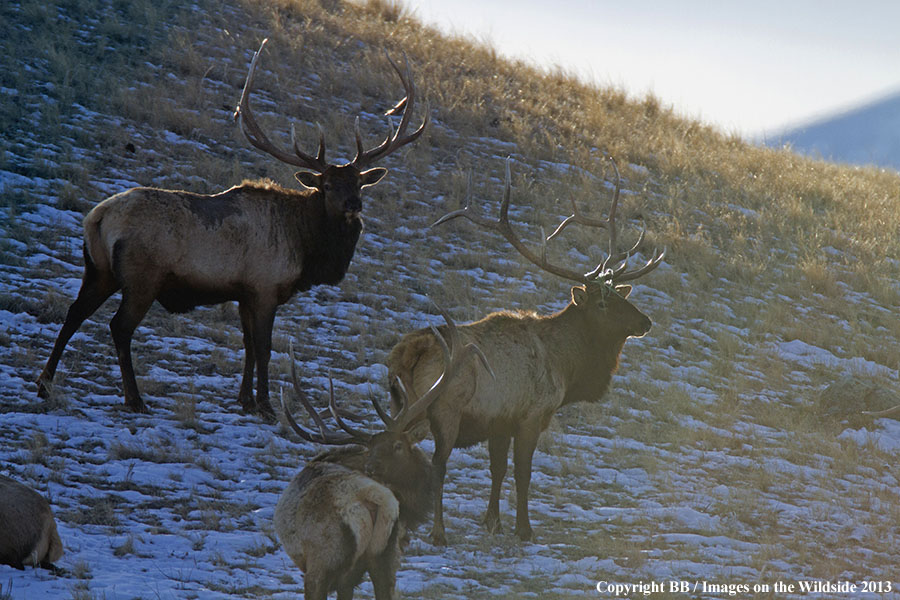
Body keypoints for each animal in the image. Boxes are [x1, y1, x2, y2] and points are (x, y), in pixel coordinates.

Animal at [36, 39, 428, 420]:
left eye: (360, 183)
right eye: (327, 185)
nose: (354, 205)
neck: (306, 247)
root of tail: (98, 216)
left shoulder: (243, 292)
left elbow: (248, 346)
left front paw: (245, 400)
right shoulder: (266, 287)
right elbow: (265, 348)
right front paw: (267, 406)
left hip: (98, 269)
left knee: (74, 313)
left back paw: (44, 383)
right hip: (142, 277)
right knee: (119, 327)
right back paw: (134, 399)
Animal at [384, 156, 664, 544]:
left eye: (621, 296)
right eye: (602, 303)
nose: (645, 321)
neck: (568, 365)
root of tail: (410, 350)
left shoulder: (501, 420)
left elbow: (498, 469)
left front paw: (493, 522)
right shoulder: (532, 414)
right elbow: (522, 472)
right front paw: (524, 528)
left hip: (401, 402)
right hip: (444, 408)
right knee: (438, 465)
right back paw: (437, 532)